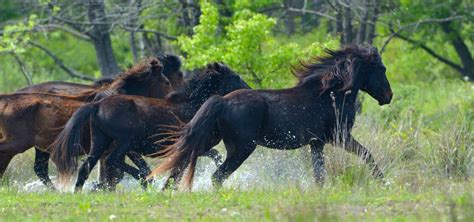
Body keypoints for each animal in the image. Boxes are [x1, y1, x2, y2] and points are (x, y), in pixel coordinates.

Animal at [50, 62, 252, 191]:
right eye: (236, 76)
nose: (250, 90)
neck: (193, 107)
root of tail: (97, 105)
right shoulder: (194, 145)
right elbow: (190, 163)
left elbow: (199, 160)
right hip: (124, 141)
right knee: (112, 160)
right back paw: (145, 181)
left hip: (100, 141)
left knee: (87, 167)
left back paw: (79, 192)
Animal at [151, 44, 392, 189]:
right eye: (382, 68)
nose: (388, 96)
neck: (330, 93)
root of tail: (223, 101)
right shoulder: (339, 137)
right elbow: (367, 155)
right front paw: (384, 183)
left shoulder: (317, 143)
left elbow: (319, 174)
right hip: (241, 148)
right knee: (217, 175)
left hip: (210, 140)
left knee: (183, 160)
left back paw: (167, 189)